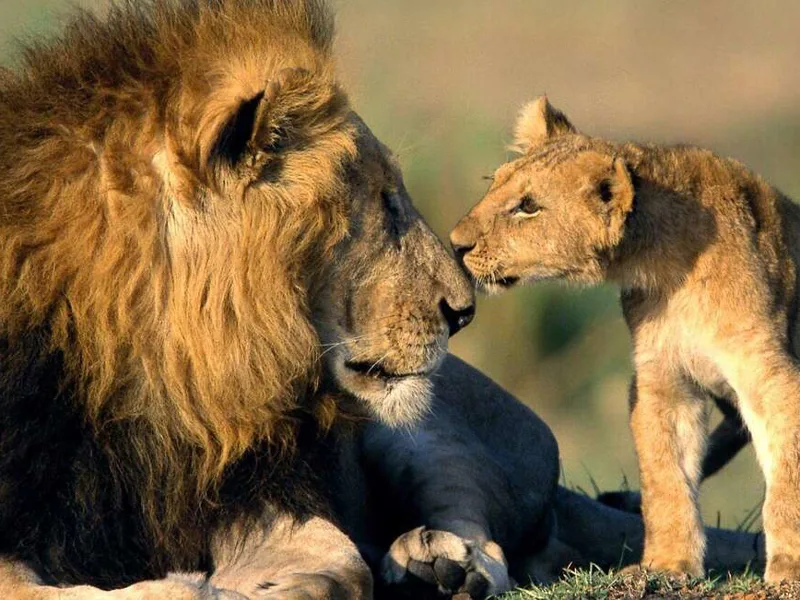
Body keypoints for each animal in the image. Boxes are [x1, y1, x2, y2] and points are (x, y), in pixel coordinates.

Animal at [450, 95, 800, 583]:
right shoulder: (663, 381)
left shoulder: (772, 375)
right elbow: (666, 479)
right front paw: (668, 565)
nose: (454, 244)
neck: (668, 267)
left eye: (528, 207)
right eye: (494, 185)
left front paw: (790, 567)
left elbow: (787, 479)